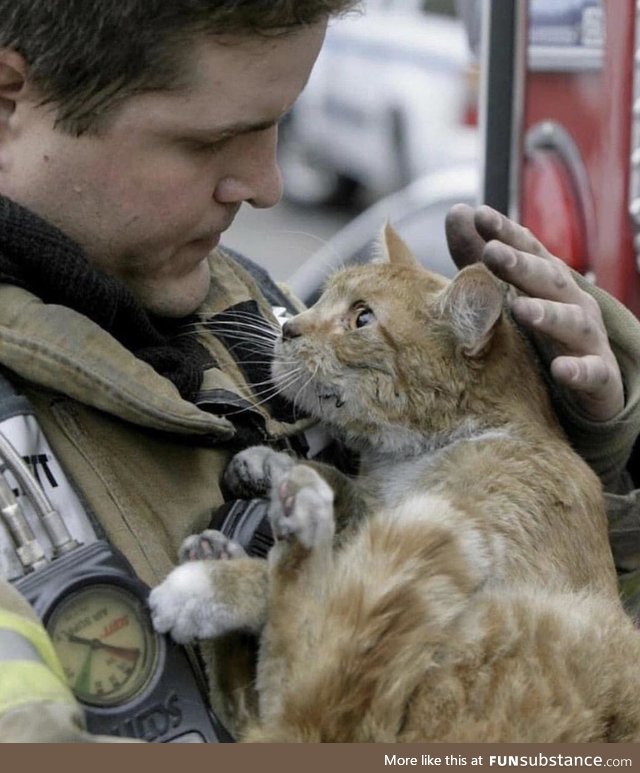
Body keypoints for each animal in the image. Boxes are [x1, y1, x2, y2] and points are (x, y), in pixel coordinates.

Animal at [149, 225, 640, 740]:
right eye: (324, 297)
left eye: (361, 318)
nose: (289, 327)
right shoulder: (377, 503)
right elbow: (339, 484)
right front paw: (269, 465)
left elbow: (332, 590)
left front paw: (223, 583)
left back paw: (209, 577)